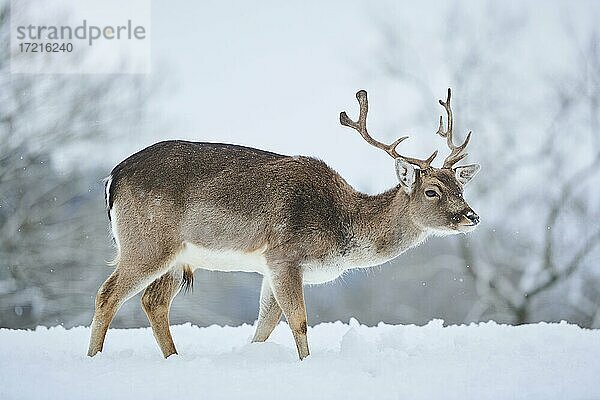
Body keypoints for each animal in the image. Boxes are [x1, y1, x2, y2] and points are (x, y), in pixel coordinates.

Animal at [88, 89, 478, 360]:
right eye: (431, 190)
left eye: (460, 187)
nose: (471, 216)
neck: (344, 230)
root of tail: (113, 177)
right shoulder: (284, 257)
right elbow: (298, 321)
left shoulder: (270, 268)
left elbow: (265, 325)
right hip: (146, 242)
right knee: (107, 294)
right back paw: (94, 358)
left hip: (177, 257)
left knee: (152, 301)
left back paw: (174, 358)